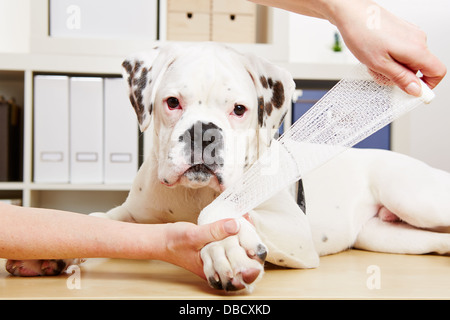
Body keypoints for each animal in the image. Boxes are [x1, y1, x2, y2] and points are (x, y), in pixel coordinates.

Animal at [7, 43, 450, 294]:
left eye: (239, 110)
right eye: (172, 102)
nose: (203, 131)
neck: (192, 194)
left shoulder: (297, 235)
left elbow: (216, 214)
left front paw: (224, 252)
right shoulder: (129, 218)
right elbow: (95, 220)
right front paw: (51, 252)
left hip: (410, 197)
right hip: (386, 236)